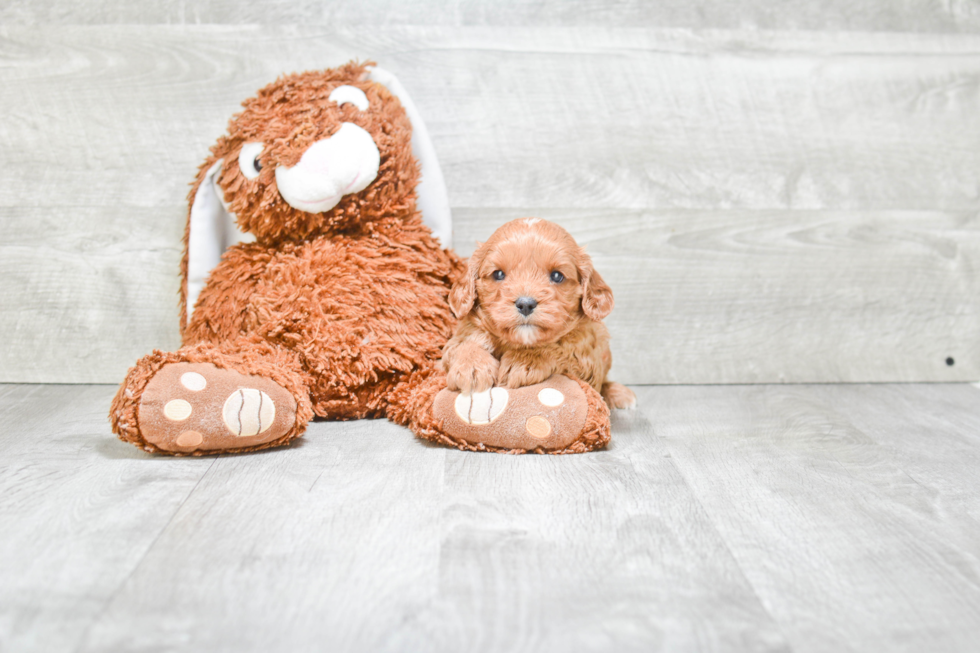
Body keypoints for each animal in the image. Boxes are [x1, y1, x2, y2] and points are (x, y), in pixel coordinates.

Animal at [442, 216, 636, 408]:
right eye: (498, 274)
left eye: (557, 276)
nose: (525, 304)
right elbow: (461, 344)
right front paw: (471, 365)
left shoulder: (588, 361)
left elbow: (562, 350)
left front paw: (525, 361)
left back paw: (619, 394)